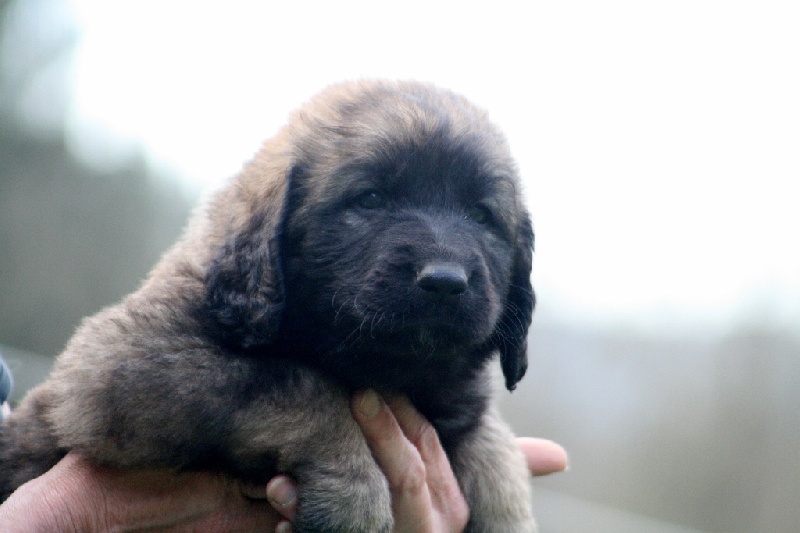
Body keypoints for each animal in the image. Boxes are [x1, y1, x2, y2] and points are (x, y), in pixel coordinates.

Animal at [0, 80, 536, 532]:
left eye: (482, 216)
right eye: (370, 198)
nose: (445, 282)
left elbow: (491, 438)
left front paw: (507, 510)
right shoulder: (121, 362)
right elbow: (297, 385)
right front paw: (353, 492)